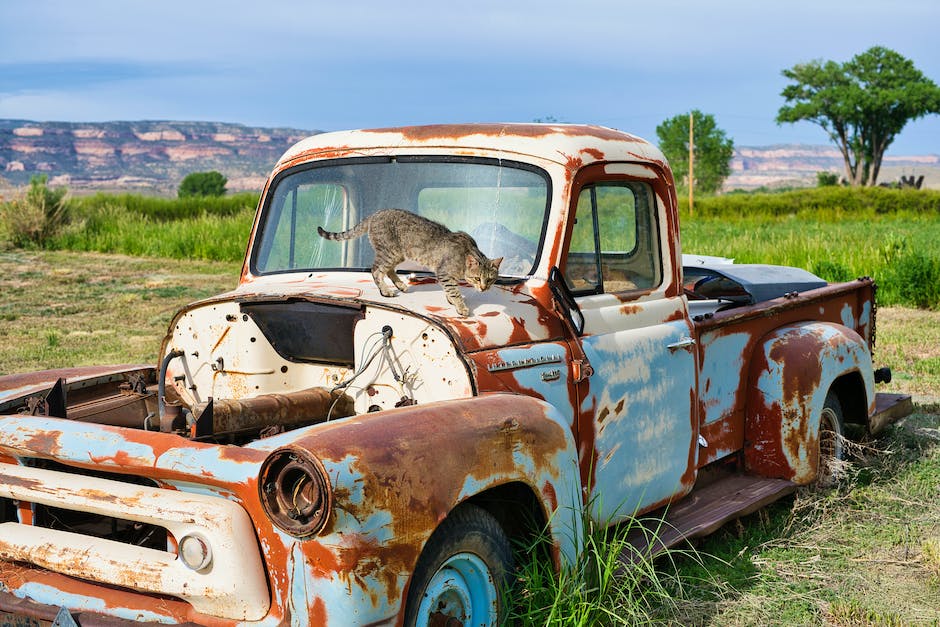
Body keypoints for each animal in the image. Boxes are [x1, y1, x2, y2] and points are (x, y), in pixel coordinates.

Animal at [320, 210, 504, 316]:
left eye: (490, 279)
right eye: (477, 278)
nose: (483, 288)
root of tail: (375, 214)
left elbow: (451, 290)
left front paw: (452, 301)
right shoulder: (444, 273)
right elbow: (454, 291)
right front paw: (461, 306)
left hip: (398, 254)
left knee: (388, 270)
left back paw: (400, 285)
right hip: (389, 252)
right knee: (376, 270)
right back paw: (385, 291)